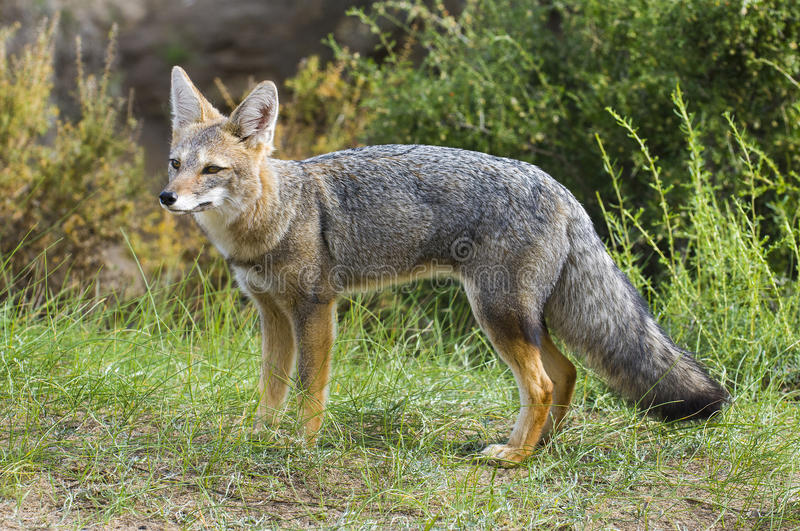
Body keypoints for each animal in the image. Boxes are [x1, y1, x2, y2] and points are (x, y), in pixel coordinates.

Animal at [159, 66, 728, 466]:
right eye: (176, 164)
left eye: (212, 171)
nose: (167, 197)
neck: (274, 216)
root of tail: (559, 187)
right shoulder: (272, 313)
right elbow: (272, 385)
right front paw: (259, 434)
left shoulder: (315, 309)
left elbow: (308, 386)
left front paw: (301, 443)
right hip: (520, 318)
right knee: (564, 374)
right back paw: (541, 445)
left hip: (497, 314)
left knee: (543, 384)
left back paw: (515, 457)